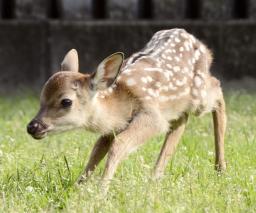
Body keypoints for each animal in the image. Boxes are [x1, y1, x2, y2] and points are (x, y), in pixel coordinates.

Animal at [26, 28, 226, 190]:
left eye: (66, 101)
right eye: (41, 97)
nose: (33, 126)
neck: (120, 105)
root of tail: (200, 44)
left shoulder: (152, 116)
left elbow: (119, 144)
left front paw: (101, 192)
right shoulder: (113, 127)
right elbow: (97, 148)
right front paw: (77, 187)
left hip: (199, 95)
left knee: (216, 87)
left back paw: (220, 168)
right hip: (178, 104)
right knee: (181, 120)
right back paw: (155, 178)